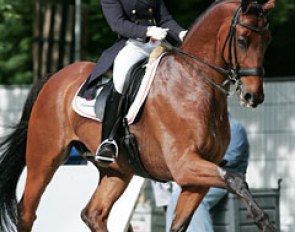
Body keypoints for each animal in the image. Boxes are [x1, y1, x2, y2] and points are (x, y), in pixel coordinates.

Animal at [0, 0, 278, 232]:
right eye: (242, 40)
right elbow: (236, 178)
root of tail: (54, 78)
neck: (193, 82)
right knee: (27, 211)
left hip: (117, 170)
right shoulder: (184, 166)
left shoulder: (197, 179)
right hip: (44, 159)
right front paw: (264, 221)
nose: (254, 96)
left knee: (94, 213)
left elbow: (180, 225)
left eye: (267, 41)